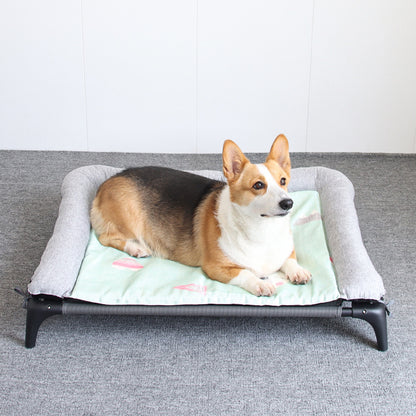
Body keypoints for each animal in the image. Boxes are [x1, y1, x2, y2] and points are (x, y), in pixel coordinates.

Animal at [92, 134, 312, 296]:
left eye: (283, 181)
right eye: (258, 185)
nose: (288, 203)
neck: (262, 230)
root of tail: (106, 183)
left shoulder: (286, 252)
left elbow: (290, 260)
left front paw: (299, 271)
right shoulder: (217, 267)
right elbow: (245, 273)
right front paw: (261, 283)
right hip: (130, 220)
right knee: (106, 237)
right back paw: (136, 248)